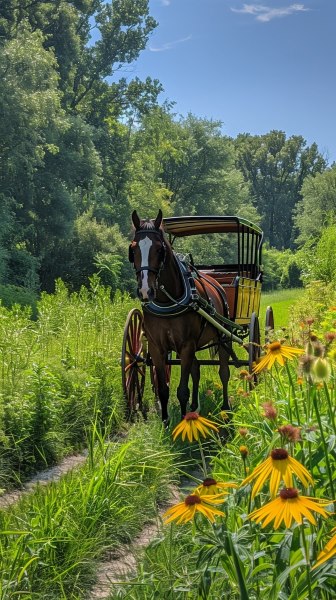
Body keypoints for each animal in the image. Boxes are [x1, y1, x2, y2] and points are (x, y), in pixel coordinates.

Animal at [129, 209, 231, 424]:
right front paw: (166, 421)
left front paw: (185, 422)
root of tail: (218, 283)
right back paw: (194, 407)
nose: (145, 291)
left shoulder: (186, 345)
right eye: (133, 249)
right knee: (196, 369)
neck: (168, 301)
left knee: (224, 370)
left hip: (223, 337)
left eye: (159, 249)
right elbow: (163, 388)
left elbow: (182, 389)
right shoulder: (157, 347)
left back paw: (225, 408)